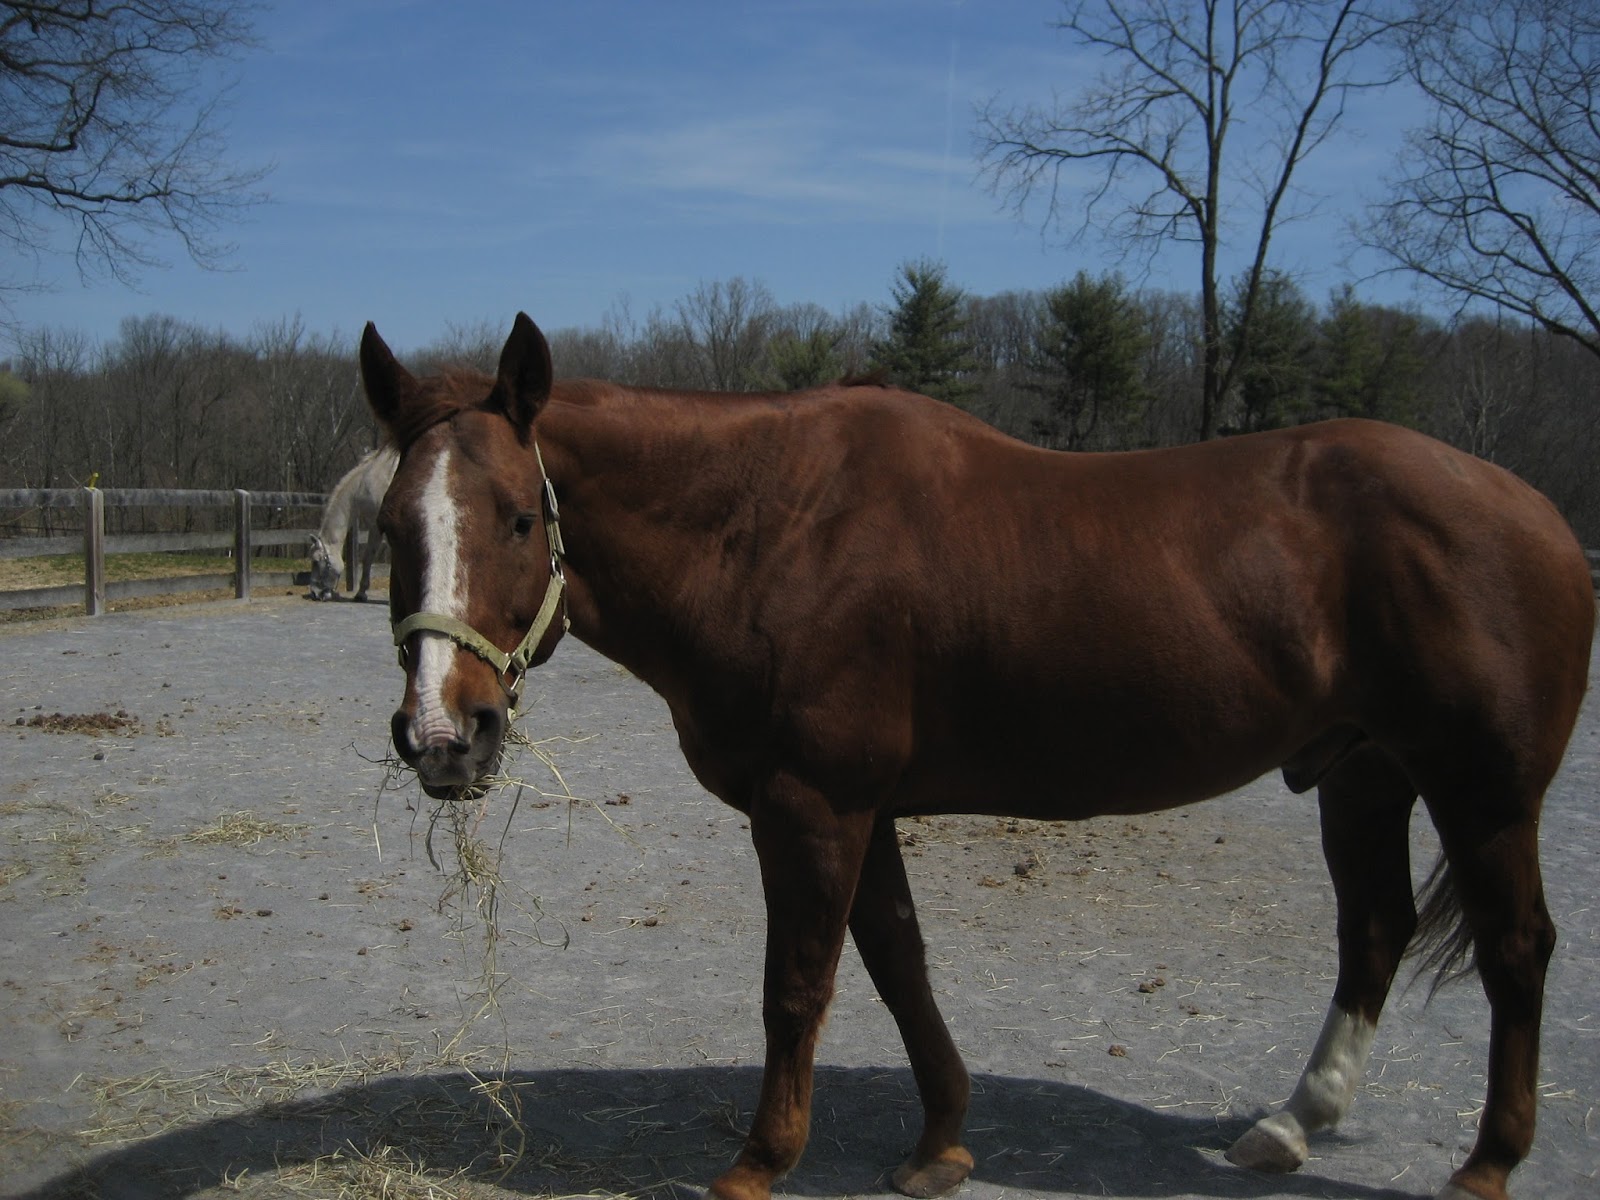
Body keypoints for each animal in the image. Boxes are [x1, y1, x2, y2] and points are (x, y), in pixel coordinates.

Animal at [307, 445, 398, 601]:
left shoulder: (379, 526)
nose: (314, 593)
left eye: (316, 561)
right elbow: (369, 557)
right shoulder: (376, 527)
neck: (365, 482)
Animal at [360, 313, 1594, 1200]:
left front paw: (759, 1164)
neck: (773, 525)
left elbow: (798, 985)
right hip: (1364, 773)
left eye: (520, 518)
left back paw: (1487, 1163)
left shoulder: (812, 803)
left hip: (1481, 792)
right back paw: (1291, 1126)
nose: (444, 735)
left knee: (1516, 950)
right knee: (1376, 928)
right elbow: (900, 963)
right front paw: (941, 1144)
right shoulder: (858, 807)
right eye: (389, 528)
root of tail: (1533, 509)